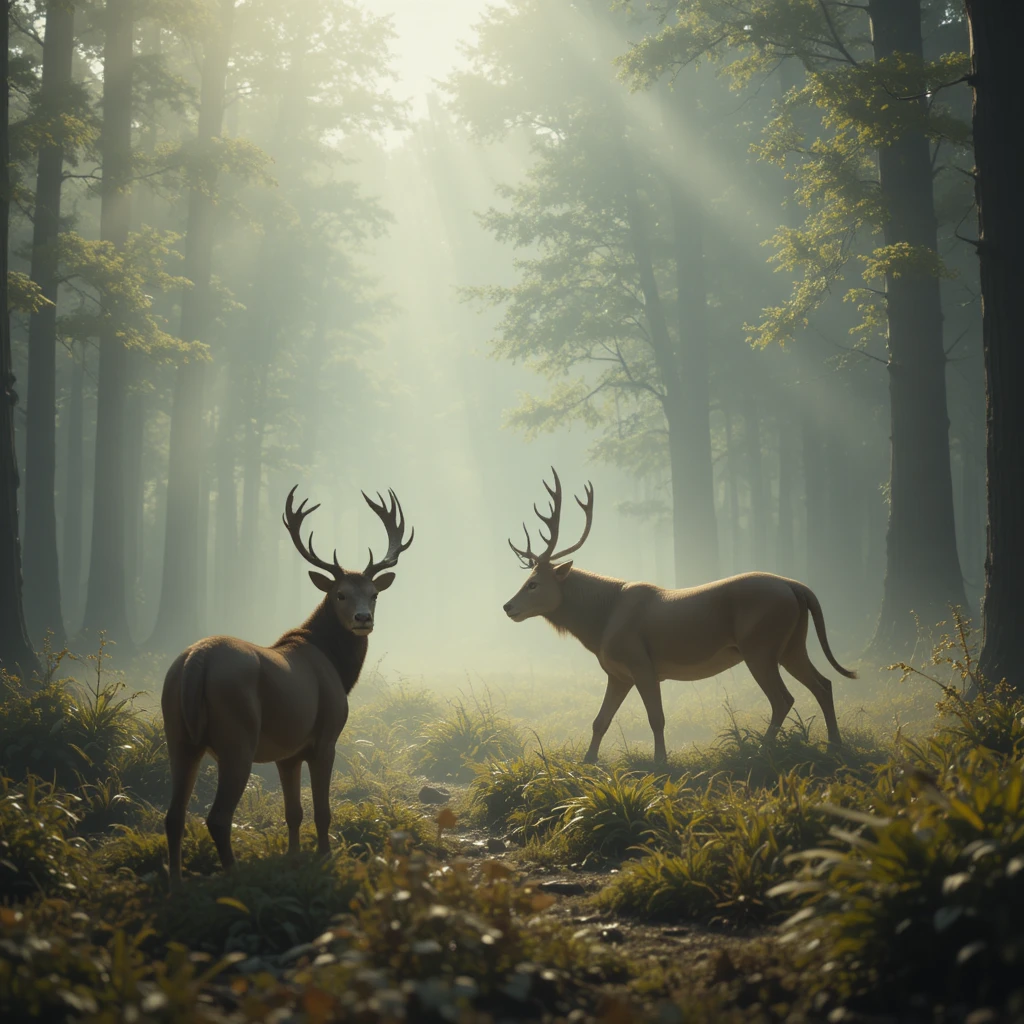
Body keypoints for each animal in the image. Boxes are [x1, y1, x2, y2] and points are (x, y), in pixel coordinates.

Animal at [161, 485, 413, 889]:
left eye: (374, 593)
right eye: (340, 594)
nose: (363, 619)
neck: (336, 667)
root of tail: (197, 661)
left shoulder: (287, 751)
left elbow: (293, 811)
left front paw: (294, 857)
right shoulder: (325, 737)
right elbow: (322, 810)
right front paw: (324, 857)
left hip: (177, 732)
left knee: (173, 815)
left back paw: (176, 884)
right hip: (237, 735)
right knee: (217, 817)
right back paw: (235, 876)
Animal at [502, 469, 857, 765]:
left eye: (533, 583)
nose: (508, 607)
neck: (600, 625)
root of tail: (797, 587)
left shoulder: (641, 663)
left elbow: (656, 718)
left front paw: (661, 762)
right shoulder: (617, 674)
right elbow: (600, 720)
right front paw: (587, 762)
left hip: (760, 644)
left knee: (783, 698)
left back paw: (761, 750)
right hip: (792, 643)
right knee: (824, 684)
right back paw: (834, 745)